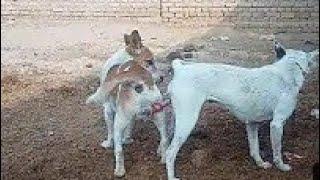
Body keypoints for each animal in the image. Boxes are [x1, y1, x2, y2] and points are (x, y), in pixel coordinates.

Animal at [165, 44, 318, 180]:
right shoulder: (277, 124)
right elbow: (277, 151)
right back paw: (171, 177)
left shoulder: (252, 124)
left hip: (176, 121)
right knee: (170, 152)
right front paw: (282, 167)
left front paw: (261, 164)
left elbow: (255, 148)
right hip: (187, 122)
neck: (290, 67)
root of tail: (180, 69)